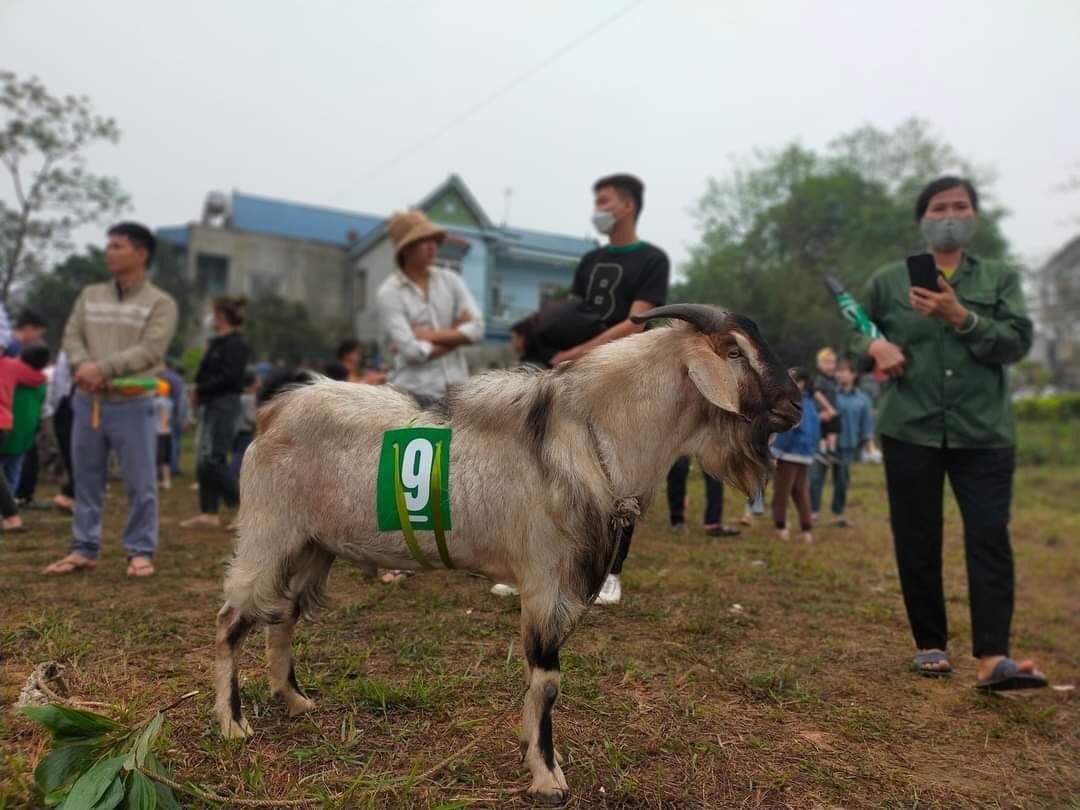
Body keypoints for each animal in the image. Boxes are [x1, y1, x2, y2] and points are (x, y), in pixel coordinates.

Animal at [212, 306, 803, 807]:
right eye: (735, 352)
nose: (797, 404)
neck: (591, 438)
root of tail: (272, 411)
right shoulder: (545, 582)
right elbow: (547, 680)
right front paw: (546, 775)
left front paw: (540, 757)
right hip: (269, 534)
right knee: (231, 620)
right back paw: (233, 724)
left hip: (312, 546)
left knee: (283, 616)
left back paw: (294, 701)